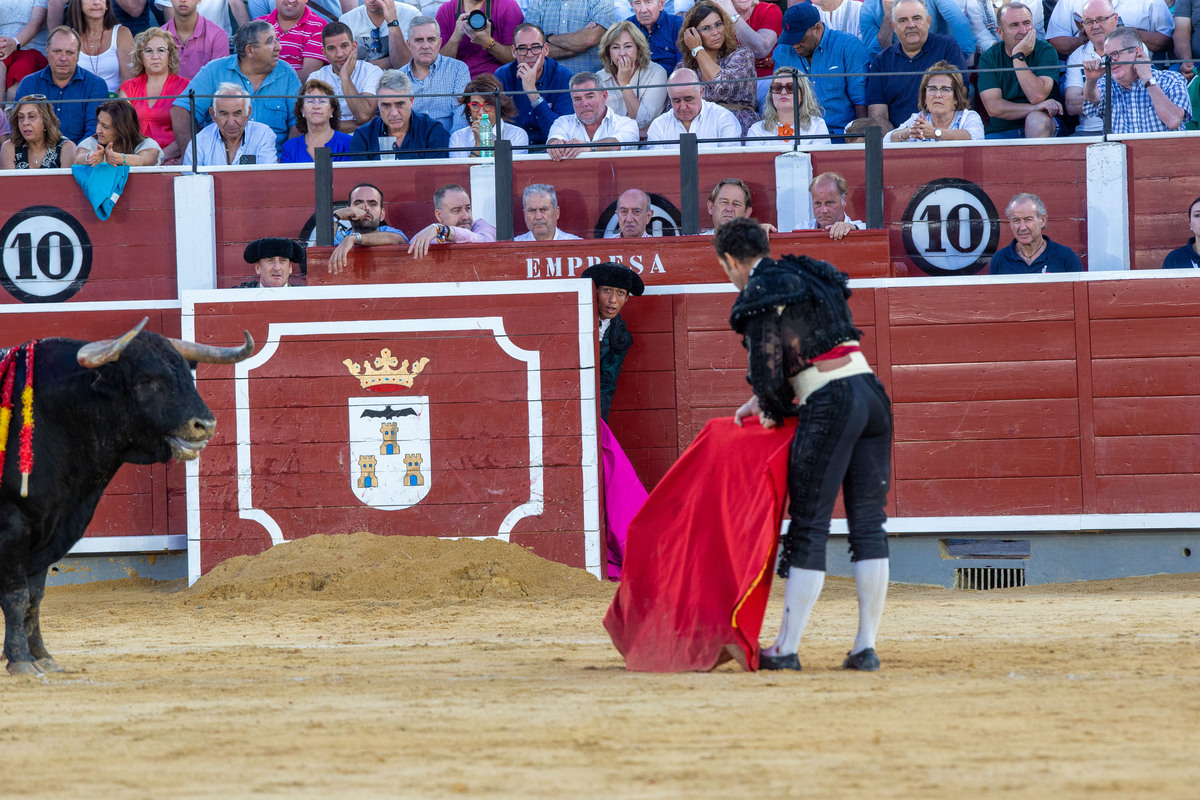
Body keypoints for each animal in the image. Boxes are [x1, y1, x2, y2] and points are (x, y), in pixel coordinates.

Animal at [0, 319, 253, 676]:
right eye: (146, 380)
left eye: (187, 374)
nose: (204, 424)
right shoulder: (14, 525)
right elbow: (16, 595)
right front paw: (21, 661)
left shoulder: (49, 529)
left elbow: (34, 597)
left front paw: (42, 657)